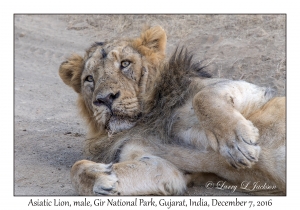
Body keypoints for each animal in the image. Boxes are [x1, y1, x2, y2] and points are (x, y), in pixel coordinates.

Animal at [59, 25, 286, 195]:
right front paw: (103, 178)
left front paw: (238, 145)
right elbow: (76, 169)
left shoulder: (259, 93)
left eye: (125, 64)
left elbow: (203, 97)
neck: (147, 118)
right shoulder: (162, 167)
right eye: (89, 79)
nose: (105, 99)